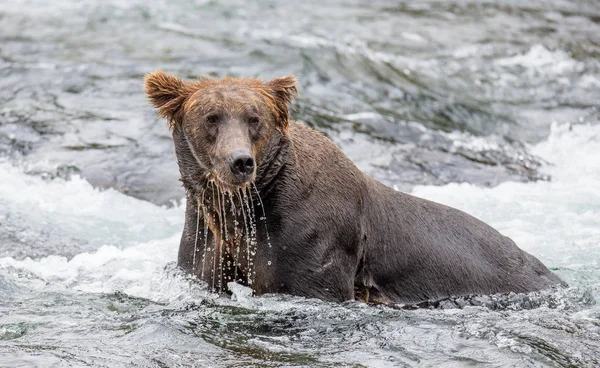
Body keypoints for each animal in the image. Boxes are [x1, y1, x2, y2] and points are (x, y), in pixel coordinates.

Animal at [144, 71, 564, 304]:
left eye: (253, 118)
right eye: (212, 117)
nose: (241, 161)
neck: (246, 206)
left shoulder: (311, 241)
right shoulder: (206, 241)